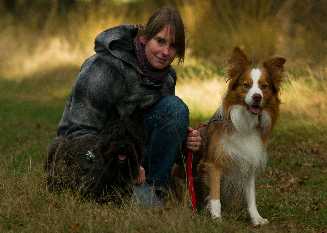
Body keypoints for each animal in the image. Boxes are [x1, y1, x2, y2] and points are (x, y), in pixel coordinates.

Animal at [197, 46, 288, 225]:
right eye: (246, 85)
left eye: (264, 86)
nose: (257, 97)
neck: (246, 123)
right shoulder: (214, 163)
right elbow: (215, 195)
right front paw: (216, 218)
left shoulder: (249, 162)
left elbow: (251, 197)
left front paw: (256, 218)